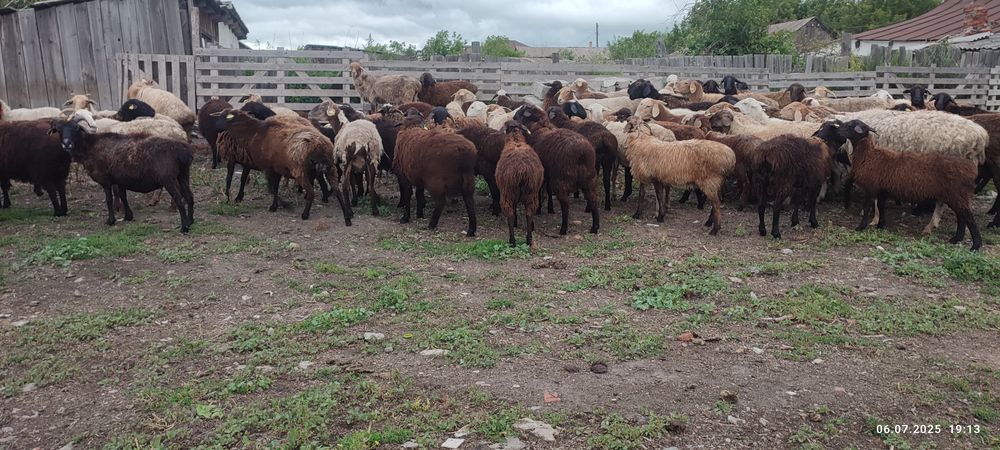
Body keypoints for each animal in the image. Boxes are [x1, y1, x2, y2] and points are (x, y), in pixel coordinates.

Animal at [52, 117, 194, 231]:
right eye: (59, 130)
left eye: (76, 128)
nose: (66, 144)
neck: (89, 146)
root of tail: (182, 150)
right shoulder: (120, 179)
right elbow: (122, 196)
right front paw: (128, 216)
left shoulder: (105, 179)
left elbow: (109, 199)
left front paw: (111, 220)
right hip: (183, 174)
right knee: (189, 197)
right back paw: (191, 221)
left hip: (168, 178)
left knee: (180, 200)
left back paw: (184, 227)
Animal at [215, 110, 351, 224]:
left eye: (223, 116)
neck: (256, 131)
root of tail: (319, 145)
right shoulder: (277, 169)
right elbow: (273, 188)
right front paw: (277, 205)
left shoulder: (268, 168)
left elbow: (272, 189)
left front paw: (279, 206)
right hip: (330, 169)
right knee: (337, 191)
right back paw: (347, 217)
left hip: (300, 171)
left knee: (311, 192)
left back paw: (305, 214)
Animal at [514, 105, 599, 235]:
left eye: (521, 112)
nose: (513, 118)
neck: (538, 127)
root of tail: (581, 153)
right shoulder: (548, 174)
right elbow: (548, 191)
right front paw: (549, 208)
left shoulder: (542, 175)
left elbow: (540, 191)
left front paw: (539, 209)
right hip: (589, 179)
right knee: (593, 200)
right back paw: (595, 227)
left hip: (561, 181)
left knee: (565, 205)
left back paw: (563, 228)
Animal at [836, 119, 982, 250]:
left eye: (849, 125)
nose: (837, 129)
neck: (868, 154)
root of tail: (971, 169)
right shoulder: (882, 189)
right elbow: (881, 206)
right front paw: (880, 225)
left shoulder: (871, 187)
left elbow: (867, 207)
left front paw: (860, 227)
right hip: (954, 195)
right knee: (961, 216)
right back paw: (956, 239)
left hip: (956, 194)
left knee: (968, 217)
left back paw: (976, 245)